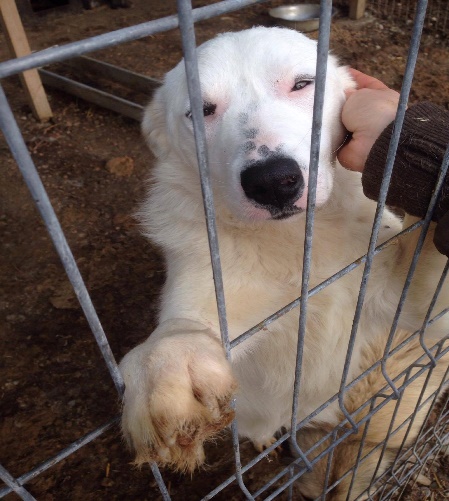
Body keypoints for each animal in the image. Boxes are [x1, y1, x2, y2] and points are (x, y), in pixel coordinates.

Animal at [119, 27, 448, 476]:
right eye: (201, 111)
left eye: (302, 84)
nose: (273, 181)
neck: (297, 244)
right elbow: (180, 328)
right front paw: (166, 364)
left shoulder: (407, 300)